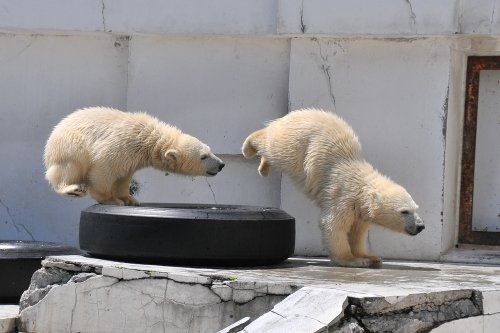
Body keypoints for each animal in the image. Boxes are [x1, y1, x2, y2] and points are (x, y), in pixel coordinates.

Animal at [45, 106, 225, 205]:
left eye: (210, 150)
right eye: (203, 156)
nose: (221, 164)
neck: (148, 138)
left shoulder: (131, 157)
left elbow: (123, 177)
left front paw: (129, 199)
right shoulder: (121, 144)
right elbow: (103, 168)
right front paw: (111, 199)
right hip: (69, 145)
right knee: (69, 166)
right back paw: (73, 188)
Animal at [244, 109, 424, 268]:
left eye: (416, 208)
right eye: (404, 211)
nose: (420, 226)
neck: (361, 186)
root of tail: (291, 115)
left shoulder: (359, 209)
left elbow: (357, 232)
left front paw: (370, 257)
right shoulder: (343, 195)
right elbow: (334, 224)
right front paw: (352, 260)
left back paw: (263, 167)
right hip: (296, 145)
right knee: (275, 147)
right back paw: (248, 148)